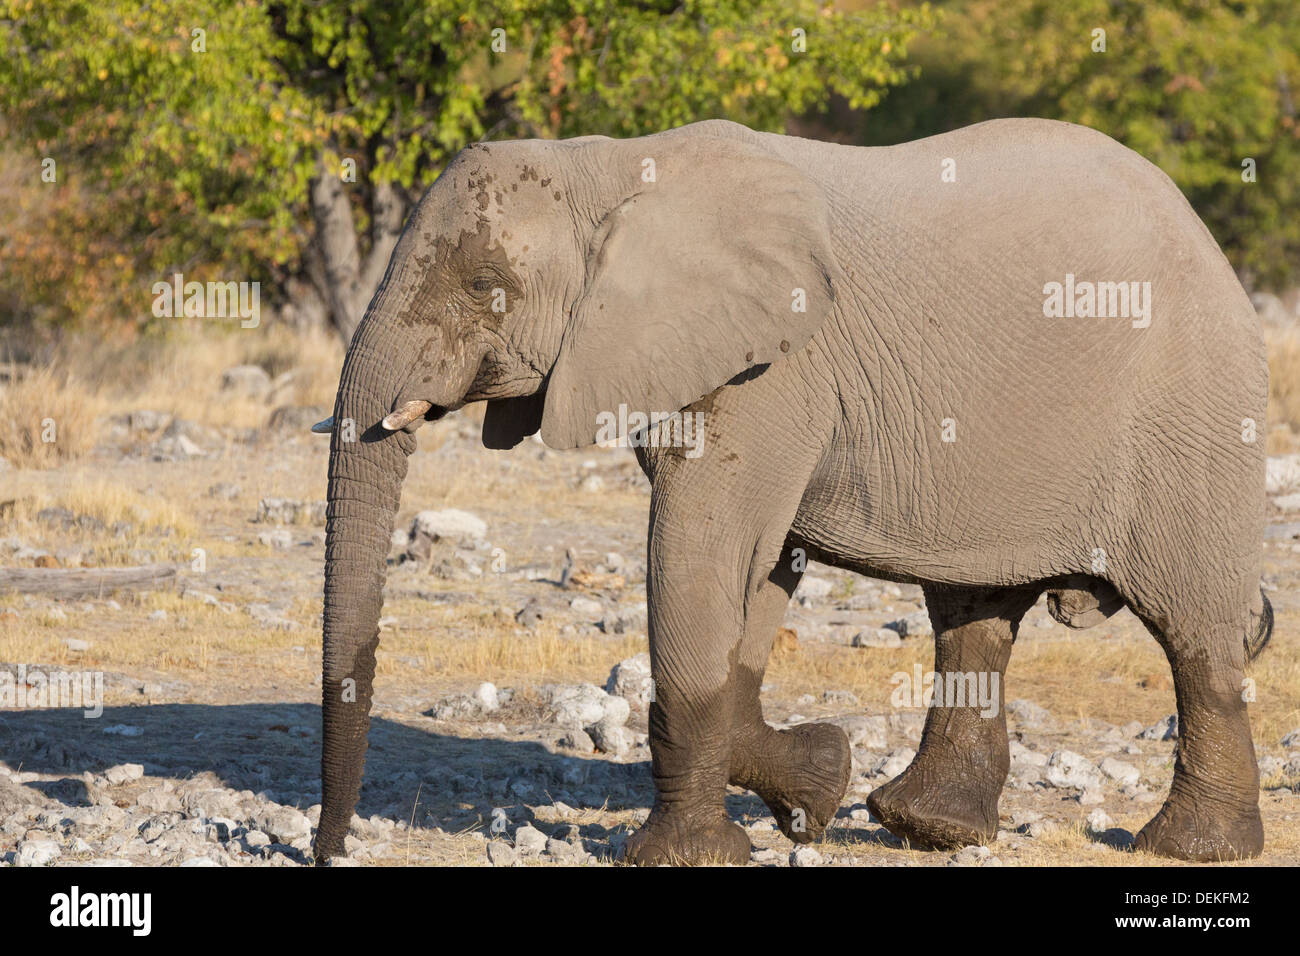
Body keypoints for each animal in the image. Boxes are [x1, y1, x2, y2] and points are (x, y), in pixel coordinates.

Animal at [312, 115, 1268, 863]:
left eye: (486, 288)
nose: (327, 851)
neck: (615, 164)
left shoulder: (774, 371)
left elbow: (702, 547)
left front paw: (685, 855)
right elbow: (759, 569)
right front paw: (816, 790)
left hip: (1193, 414)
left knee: (1192, 628)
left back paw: (1188, 847)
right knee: (972, 615)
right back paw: (924, 827)